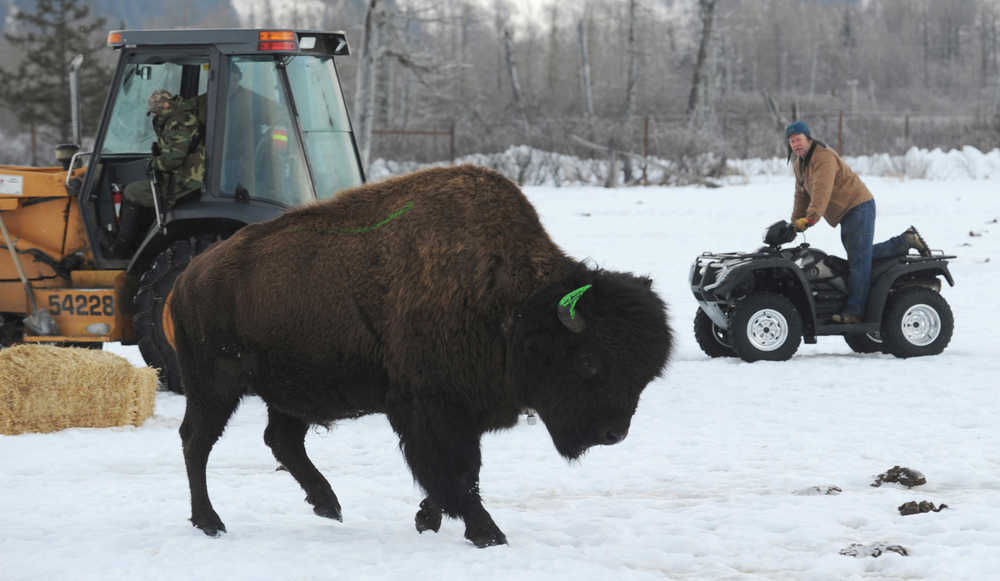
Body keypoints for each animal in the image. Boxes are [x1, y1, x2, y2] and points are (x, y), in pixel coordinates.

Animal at [170, 164, 672, 548]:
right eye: (590, 362)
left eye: (644, 375)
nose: (613, 434)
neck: (515, 304)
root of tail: (188, 278)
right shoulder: (433, 408)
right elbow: (456, 471)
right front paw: (489, 534)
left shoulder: (462, 409)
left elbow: (454, 473)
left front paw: (427, 519)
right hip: (215, 386)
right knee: (197, 442)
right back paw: (211, 522)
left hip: (289, 390)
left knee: (281, 440)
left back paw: (328, 505)